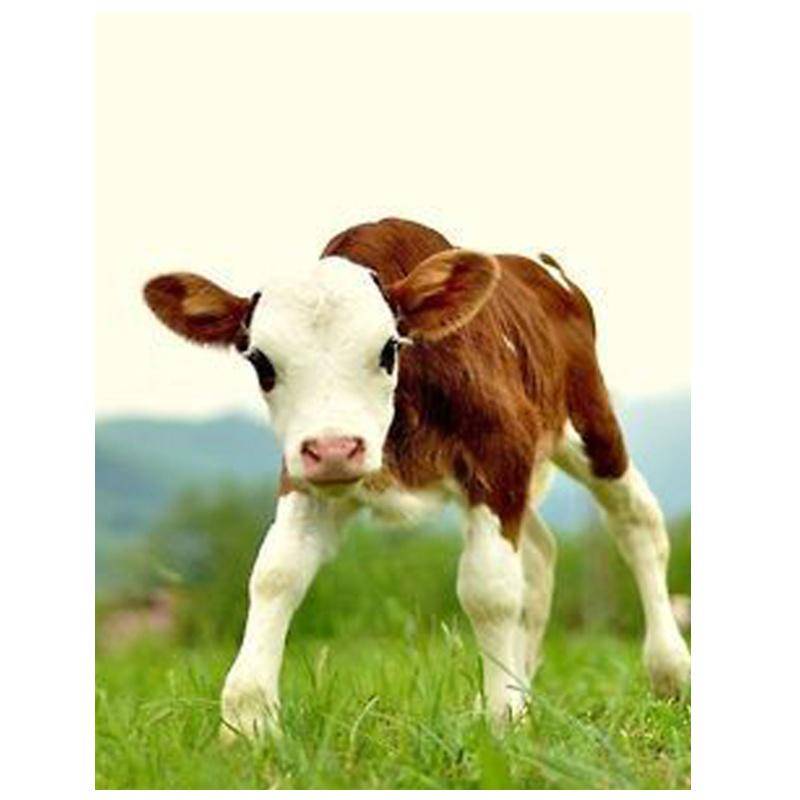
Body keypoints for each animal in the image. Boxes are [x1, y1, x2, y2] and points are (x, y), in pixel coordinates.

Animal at [143, 217, 690, 740]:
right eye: (260, 361)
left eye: (389, 348)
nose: (335, 449)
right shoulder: (303, 475)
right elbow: (276, 573)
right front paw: (248, 722)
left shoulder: (500, 452)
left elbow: (488, 589)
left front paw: (503, 721)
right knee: (539, 555)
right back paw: (525, 683)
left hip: (590, 424)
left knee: (636, 520)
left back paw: (670, 671)